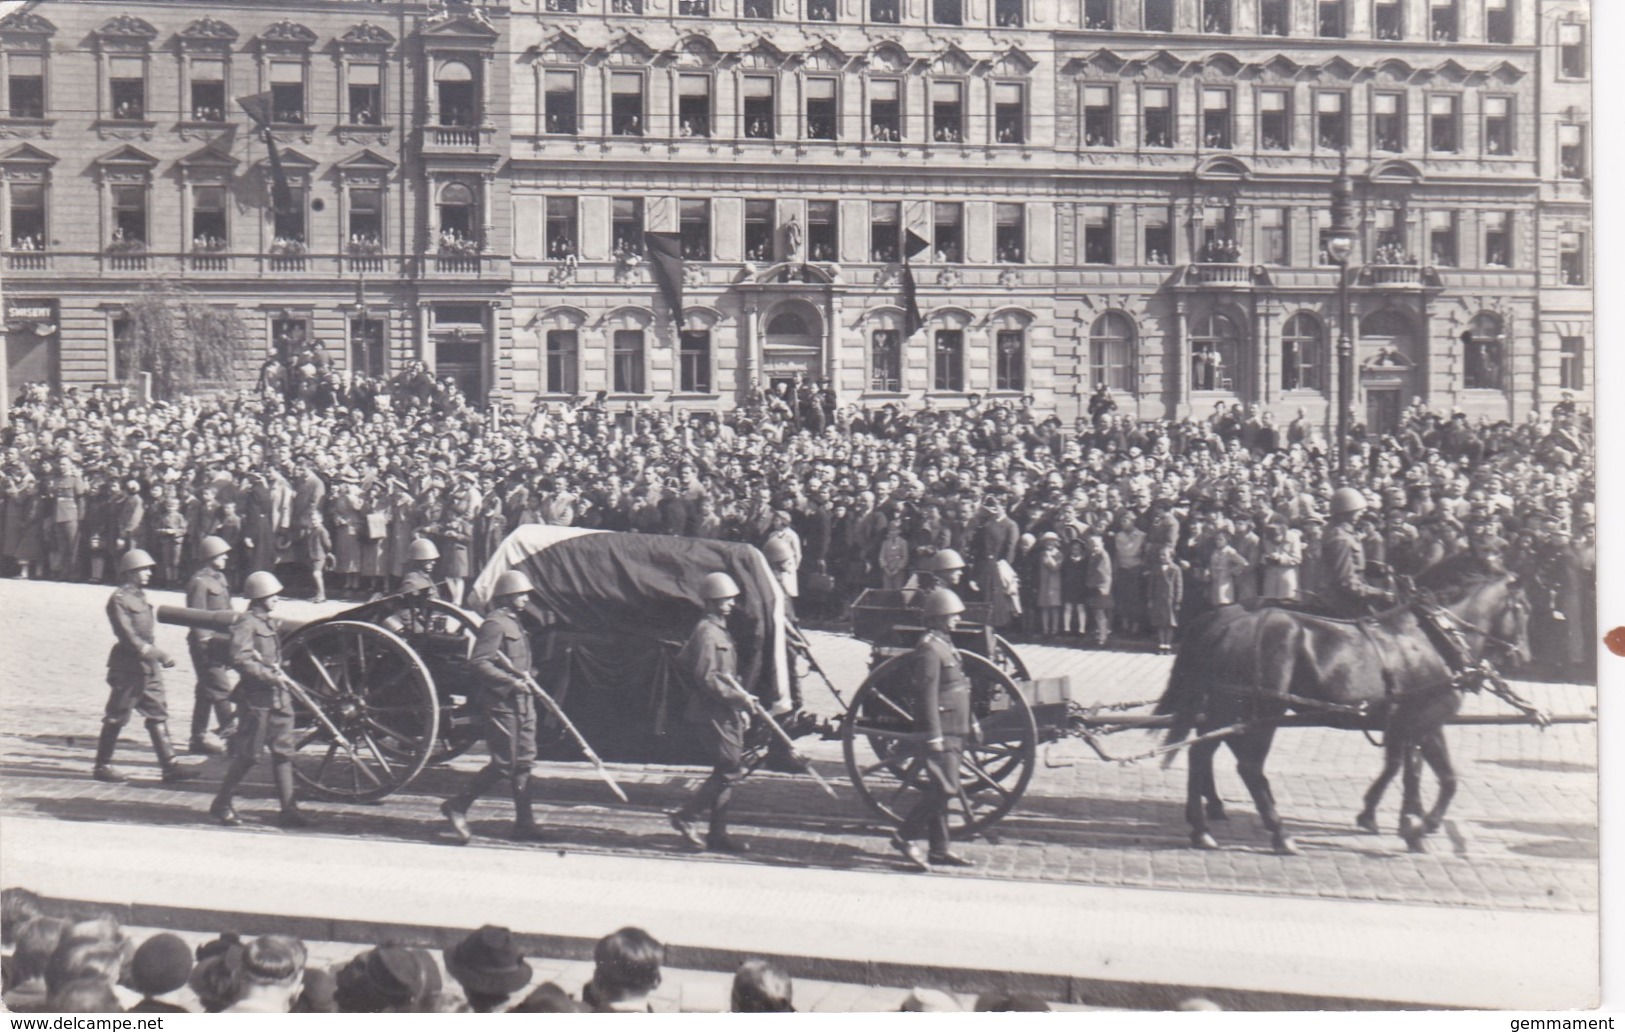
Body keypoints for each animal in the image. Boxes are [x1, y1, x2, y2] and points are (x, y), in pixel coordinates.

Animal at [1157, 555, 1521, 858]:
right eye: (1522, 606)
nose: (1519, 656)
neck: (1433, 639)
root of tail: (1224, 622)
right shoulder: (1420, 721)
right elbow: (1414, 773)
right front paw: (1411, 825)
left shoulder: (1419, 724)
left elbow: (1436, 775)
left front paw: (1402, 819)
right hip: (1260, 711)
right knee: (1246, 766)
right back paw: (1278, 834)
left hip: (1229, 708)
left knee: (1202, 752)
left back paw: (1204, 825)